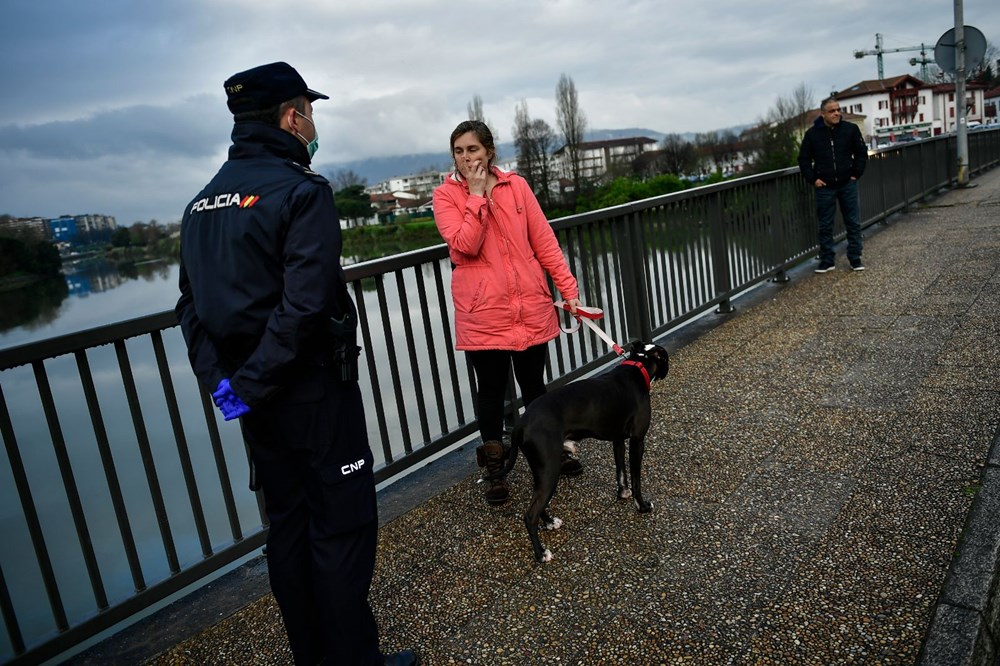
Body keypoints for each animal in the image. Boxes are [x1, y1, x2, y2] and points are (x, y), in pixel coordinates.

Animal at [488, 342, 668, 560]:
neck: (638, 365)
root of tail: (520, 424)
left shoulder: (618, 440)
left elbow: (621, 472)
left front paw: (623, 493)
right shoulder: (637, 441)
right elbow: (636, 479)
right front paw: (642, 506)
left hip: (541, 470)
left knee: (537, 504)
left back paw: (550, 523)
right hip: (550, 471)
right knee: (530, 515)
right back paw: (541, 554)